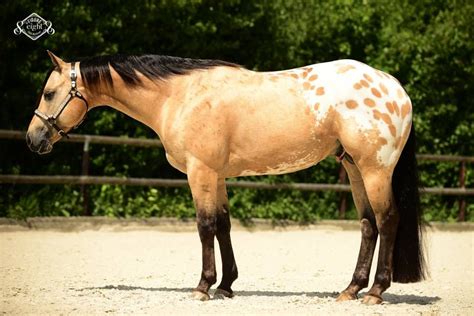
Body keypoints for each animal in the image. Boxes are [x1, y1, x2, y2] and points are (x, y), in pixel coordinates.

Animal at [25, 51, 426, 304]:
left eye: (49, 93)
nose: (33, 139)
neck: (179, 95)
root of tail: (395, 87)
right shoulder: (216, 176)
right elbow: (223, 226)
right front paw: (226, 285)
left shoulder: (200, 171)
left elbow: (204, 227)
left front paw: (203, 286)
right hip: (355, 168)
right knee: (368, 225)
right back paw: (350, 289)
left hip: (374, 169)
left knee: (388, 220)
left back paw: (375, 292)